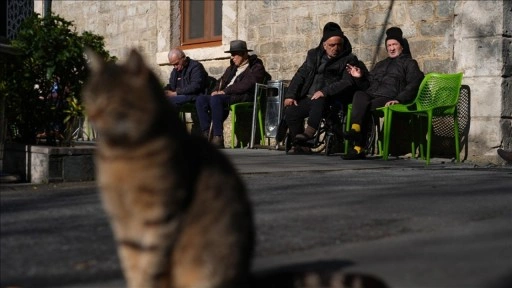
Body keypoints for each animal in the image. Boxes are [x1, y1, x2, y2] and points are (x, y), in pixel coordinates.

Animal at [82, 49, 256, 288]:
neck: (121, 153)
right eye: (89, 97)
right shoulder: (121, 222)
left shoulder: (161, 214)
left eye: (110, 99)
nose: (91, 115)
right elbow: (132, 263)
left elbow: (150, 264)